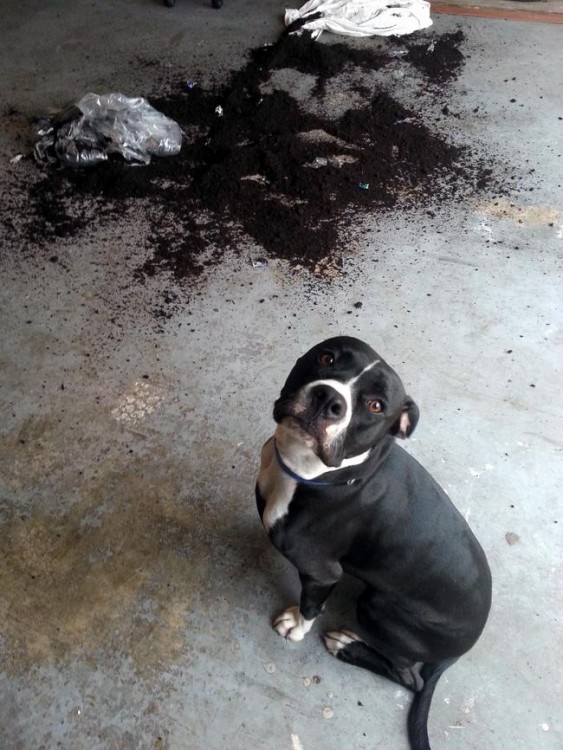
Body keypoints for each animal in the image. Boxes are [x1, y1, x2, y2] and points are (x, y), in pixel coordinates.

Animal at [256, 340, 494, 750]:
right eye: (327, 357)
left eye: (376, 405)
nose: (328, 398)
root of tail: (465, 647)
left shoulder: (321, 571)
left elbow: (310, 605)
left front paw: (297, 627)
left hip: (377, 607)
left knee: (410, 678)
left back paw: (346, 647)